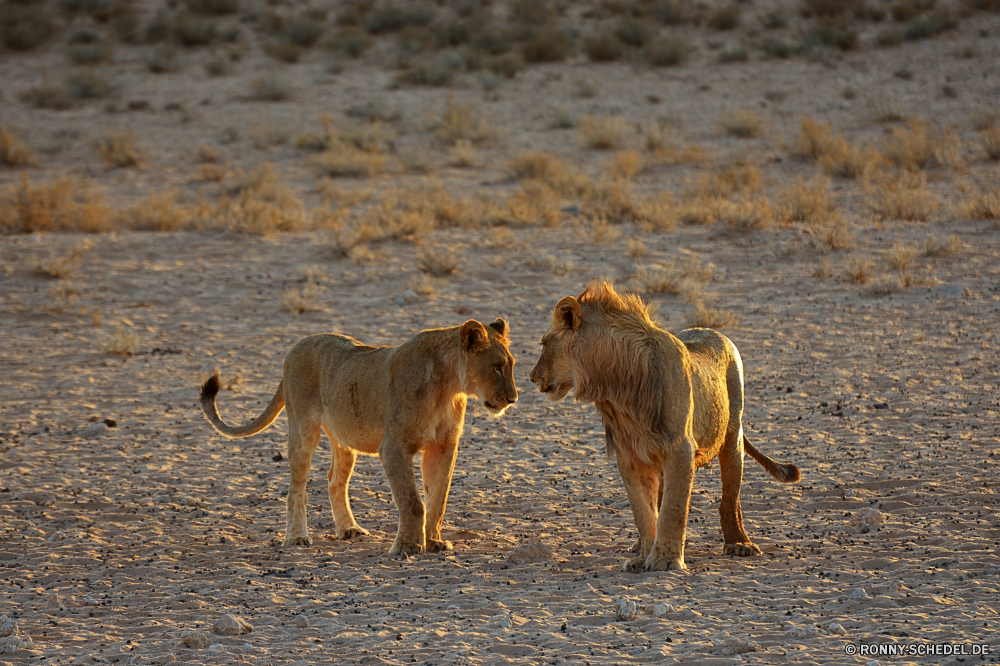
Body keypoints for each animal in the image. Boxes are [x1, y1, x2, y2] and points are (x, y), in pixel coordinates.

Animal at [200, 320, 520, 552]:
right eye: (496, 367)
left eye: (512, 365)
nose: (513, 399)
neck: (449, 388)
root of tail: (298, 345)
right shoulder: (394, 447)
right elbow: (413, 502)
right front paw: (407, 547)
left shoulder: (443, 446)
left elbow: (438, 499)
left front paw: (434, 542)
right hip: (302, 428)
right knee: (296, 488)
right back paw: (297, 537)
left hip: (344, 438)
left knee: (334, 480)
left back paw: (348, 529)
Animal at [528, 282, 800, 572]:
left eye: (543, 344)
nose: (531, 378)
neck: (614, 387)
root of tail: (713, 331)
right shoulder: (629, 454)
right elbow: (644, 511)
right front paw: (643, 556)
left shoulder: (680, 446)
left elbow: (673, 508)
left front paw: (665, 560)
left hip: (732, 432)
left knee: (730, 496)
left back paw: (739, 543)